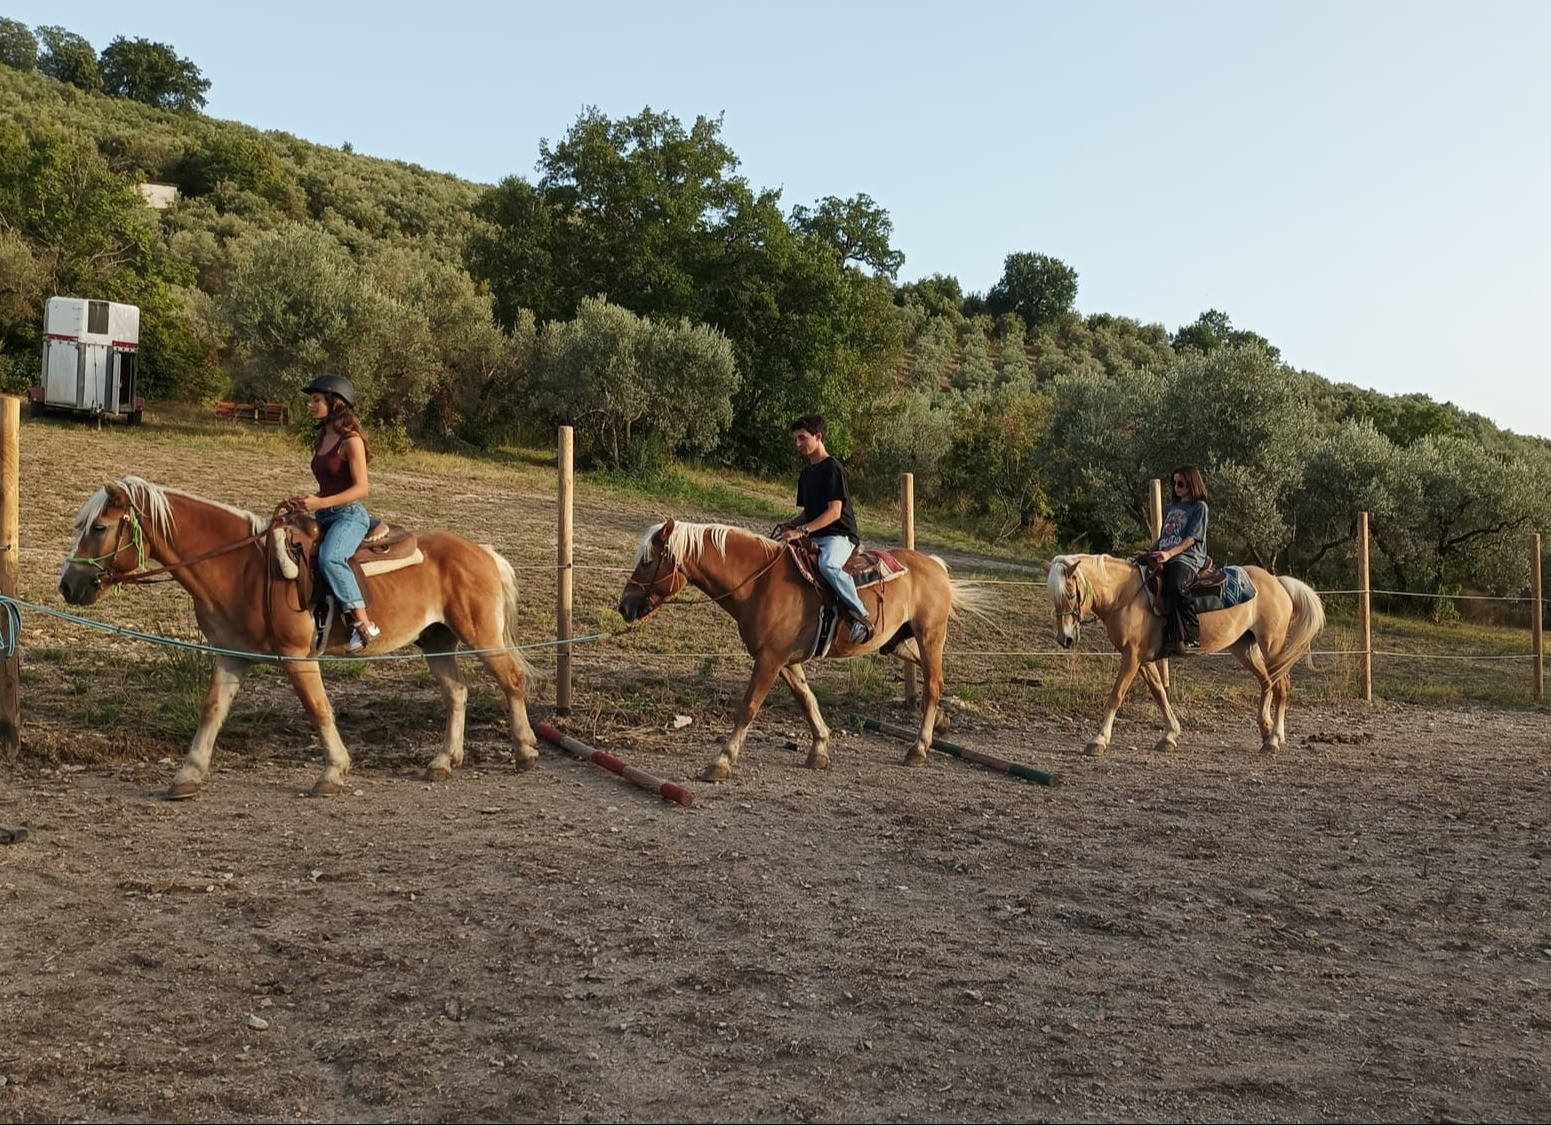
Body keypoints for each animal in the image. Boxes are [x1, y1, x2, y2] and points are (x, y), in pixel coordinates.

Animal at [58, 477, 538, 798]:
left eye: (98, 527)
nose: (68, 586)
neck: (243, 567)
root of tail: (484, 553)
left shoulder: (296, 658)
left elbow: (318, 709)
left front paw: (333, 772)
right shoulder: (231, 656)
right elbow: (212, 710)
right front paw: (188, 775)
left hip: (481, 635)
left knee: (511, 680)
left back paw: (524, 751)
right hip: (437, 640)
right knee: (457, 693)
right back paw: (443, 762)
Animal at [617, 519, 987, 782]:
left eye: (648, 561)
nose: (624, 606)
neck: (759, 582)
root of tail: (935, 566)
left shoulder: (769, 659)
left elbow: (748, 708)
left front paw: (721, 762)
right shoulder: (783, 660)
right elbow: (806, 699)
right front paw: (820, 749)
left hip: (930, 635)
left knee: (933, 685)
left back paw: (918, 748)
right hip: (894, 642)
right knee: (931, 677)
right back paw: (940, 722)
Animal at [1046, 553, 1326, 756]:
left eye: (1069, 594)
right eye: (1054, 599)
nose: (1065, 639)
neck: (1124, 594)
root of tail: (1278, 582)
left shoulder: (1132, 656)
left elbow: (1116, 695)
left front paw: (1099, 740)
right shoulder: (1143, 660)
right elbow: (1160, 694)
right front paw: (1169, 735)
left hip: (1273, 647)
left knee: (1282, 687)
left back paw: (1274, 740)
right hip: (1244, 648)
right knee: (1267, 682)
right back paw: (1266, 731)